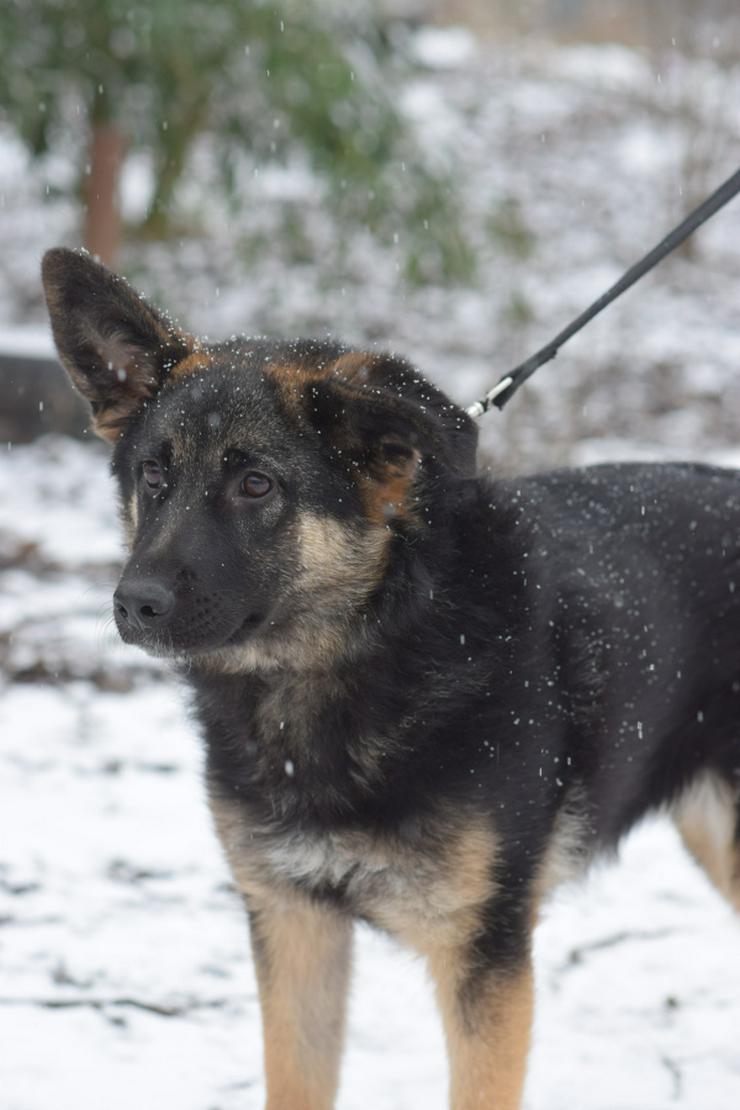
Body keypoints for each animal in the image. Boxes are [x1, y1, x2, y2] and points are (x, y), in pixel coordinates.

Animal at [41, 249, 740, 1110]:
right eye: (152, 473)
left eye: (256, 485)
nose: (133, 603)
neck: (364, 650)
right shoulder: (296, 925)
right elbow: (295, 1081)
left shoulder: (482, 958)